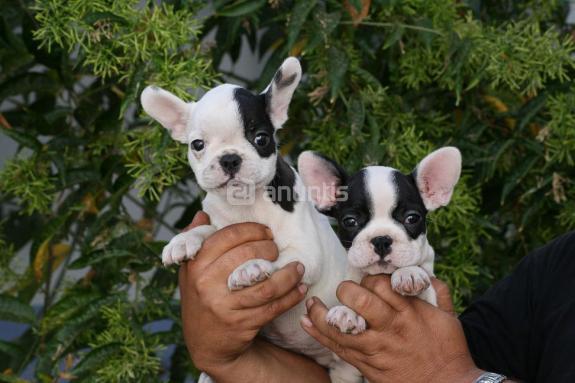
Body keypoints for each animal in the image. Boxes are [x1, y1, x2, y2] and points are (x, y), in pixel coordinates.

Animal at [141, 57, 362, 383]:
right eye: (197, 145)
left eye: (261, 138)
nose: (229, 158)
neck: (245, 204)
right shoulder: (221, 221)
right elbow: (208, 228)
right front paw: (183, 240)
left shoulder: (306, 253)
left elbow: (281, 259)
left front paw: (252, 267)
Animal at [296, 148, 464, 334]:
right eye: (350, 221)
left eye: (412, 218)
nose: (381, 240)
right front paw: (347, 310)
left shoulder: (430, 299)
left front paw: (408, 273)